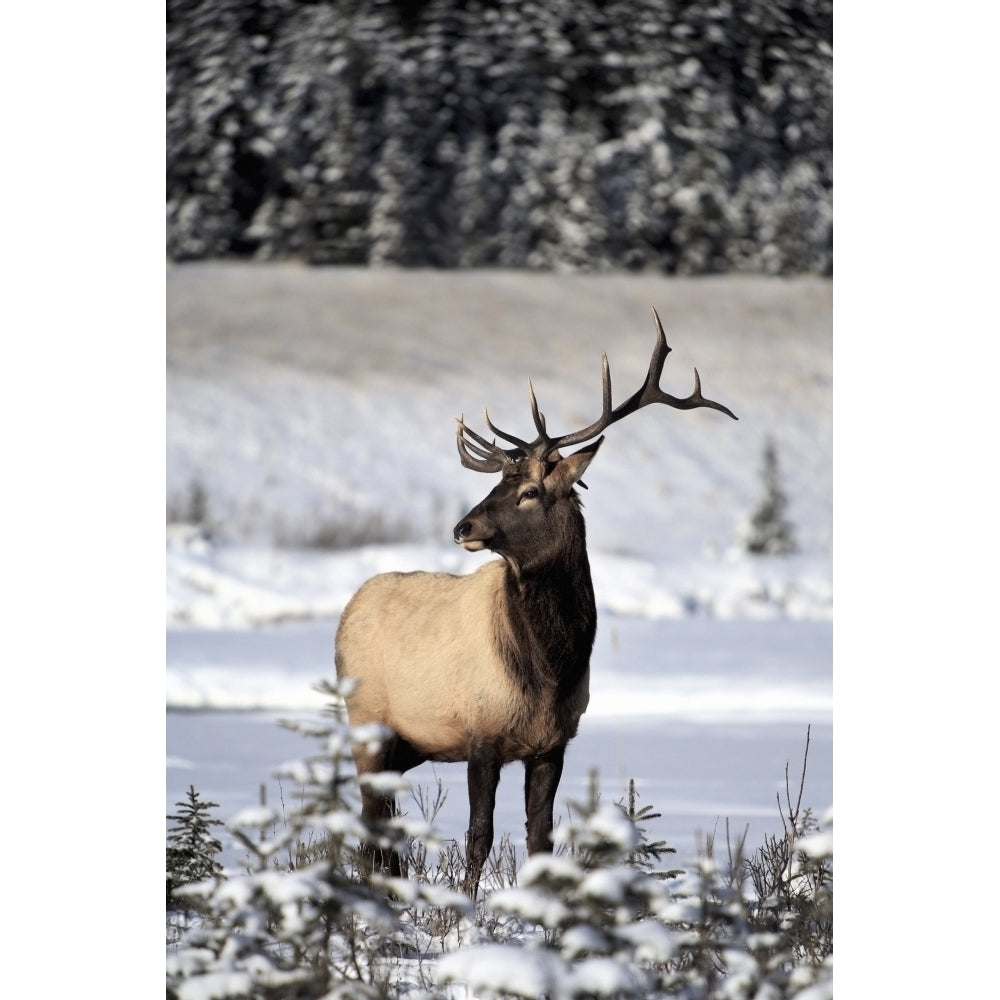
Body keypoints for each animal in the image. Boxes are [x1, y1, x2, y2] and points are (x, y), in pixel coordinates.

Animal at [336, 306, 736, 900]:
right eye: (498, 483)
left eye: (529, 492)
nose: (462, 527)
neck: (549, 669)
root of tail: (348, 609)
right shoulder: (481, 731)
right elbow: (479, 836)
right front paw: (465, 909)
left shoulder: (553, 742)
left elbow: (540, 837)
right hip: (366, 722)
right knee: (369, 819)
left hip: (409, 743)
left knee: (381, 823)